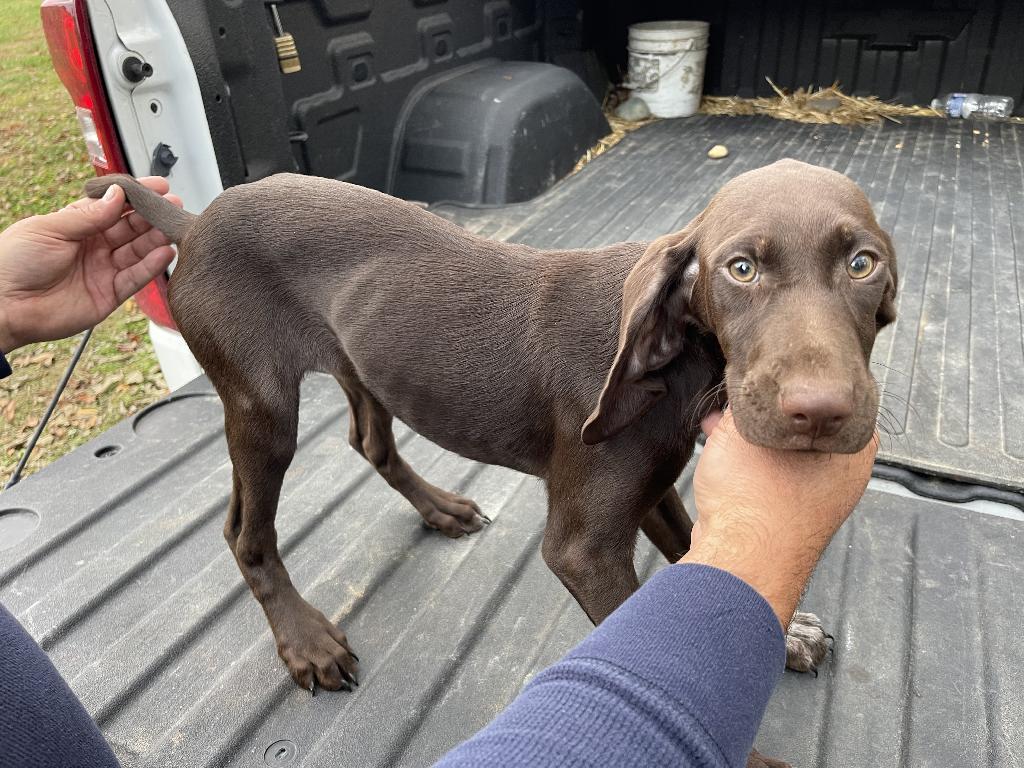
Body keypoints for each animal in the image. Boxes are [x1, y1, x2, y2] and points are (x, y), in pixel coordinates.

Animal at [86, 162, 897, 708]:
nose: (820, 412)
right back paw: (306, 640)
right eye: (741, 269)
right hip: (261, 407)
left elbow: (700, 552)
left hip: (362, 361)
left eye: (865, 265)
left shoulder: (654, 488)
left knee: (370, 443)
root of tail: (195, 223)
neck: (678, 356)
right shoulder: (583, 547)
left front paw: (784, 636)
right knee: (245, 531)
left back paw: (441, 508)